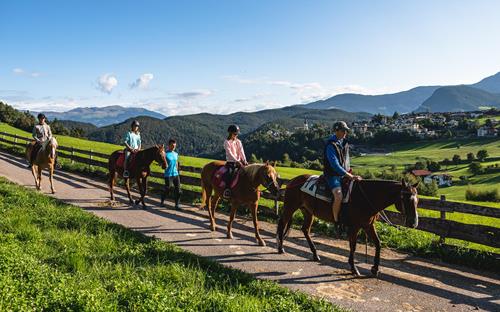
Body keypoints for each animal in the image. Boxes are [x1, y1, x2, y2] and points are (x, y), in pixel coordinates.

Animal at [276, 177, 420, 276]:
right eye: (406, 199)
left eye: (417, 200)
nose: (413, 223)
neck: (366, 197)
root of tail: (294, 181)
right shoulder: (355, 226)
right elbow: (353, 246)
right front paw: (353, 268)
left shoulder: (368, 225)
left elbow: (378, 244)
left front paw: (375, 269)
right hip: (290, 207)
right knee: (282, 224)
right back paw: (281, 248)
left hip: (308, 212)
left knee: (305, 230)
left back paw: (315, 254)